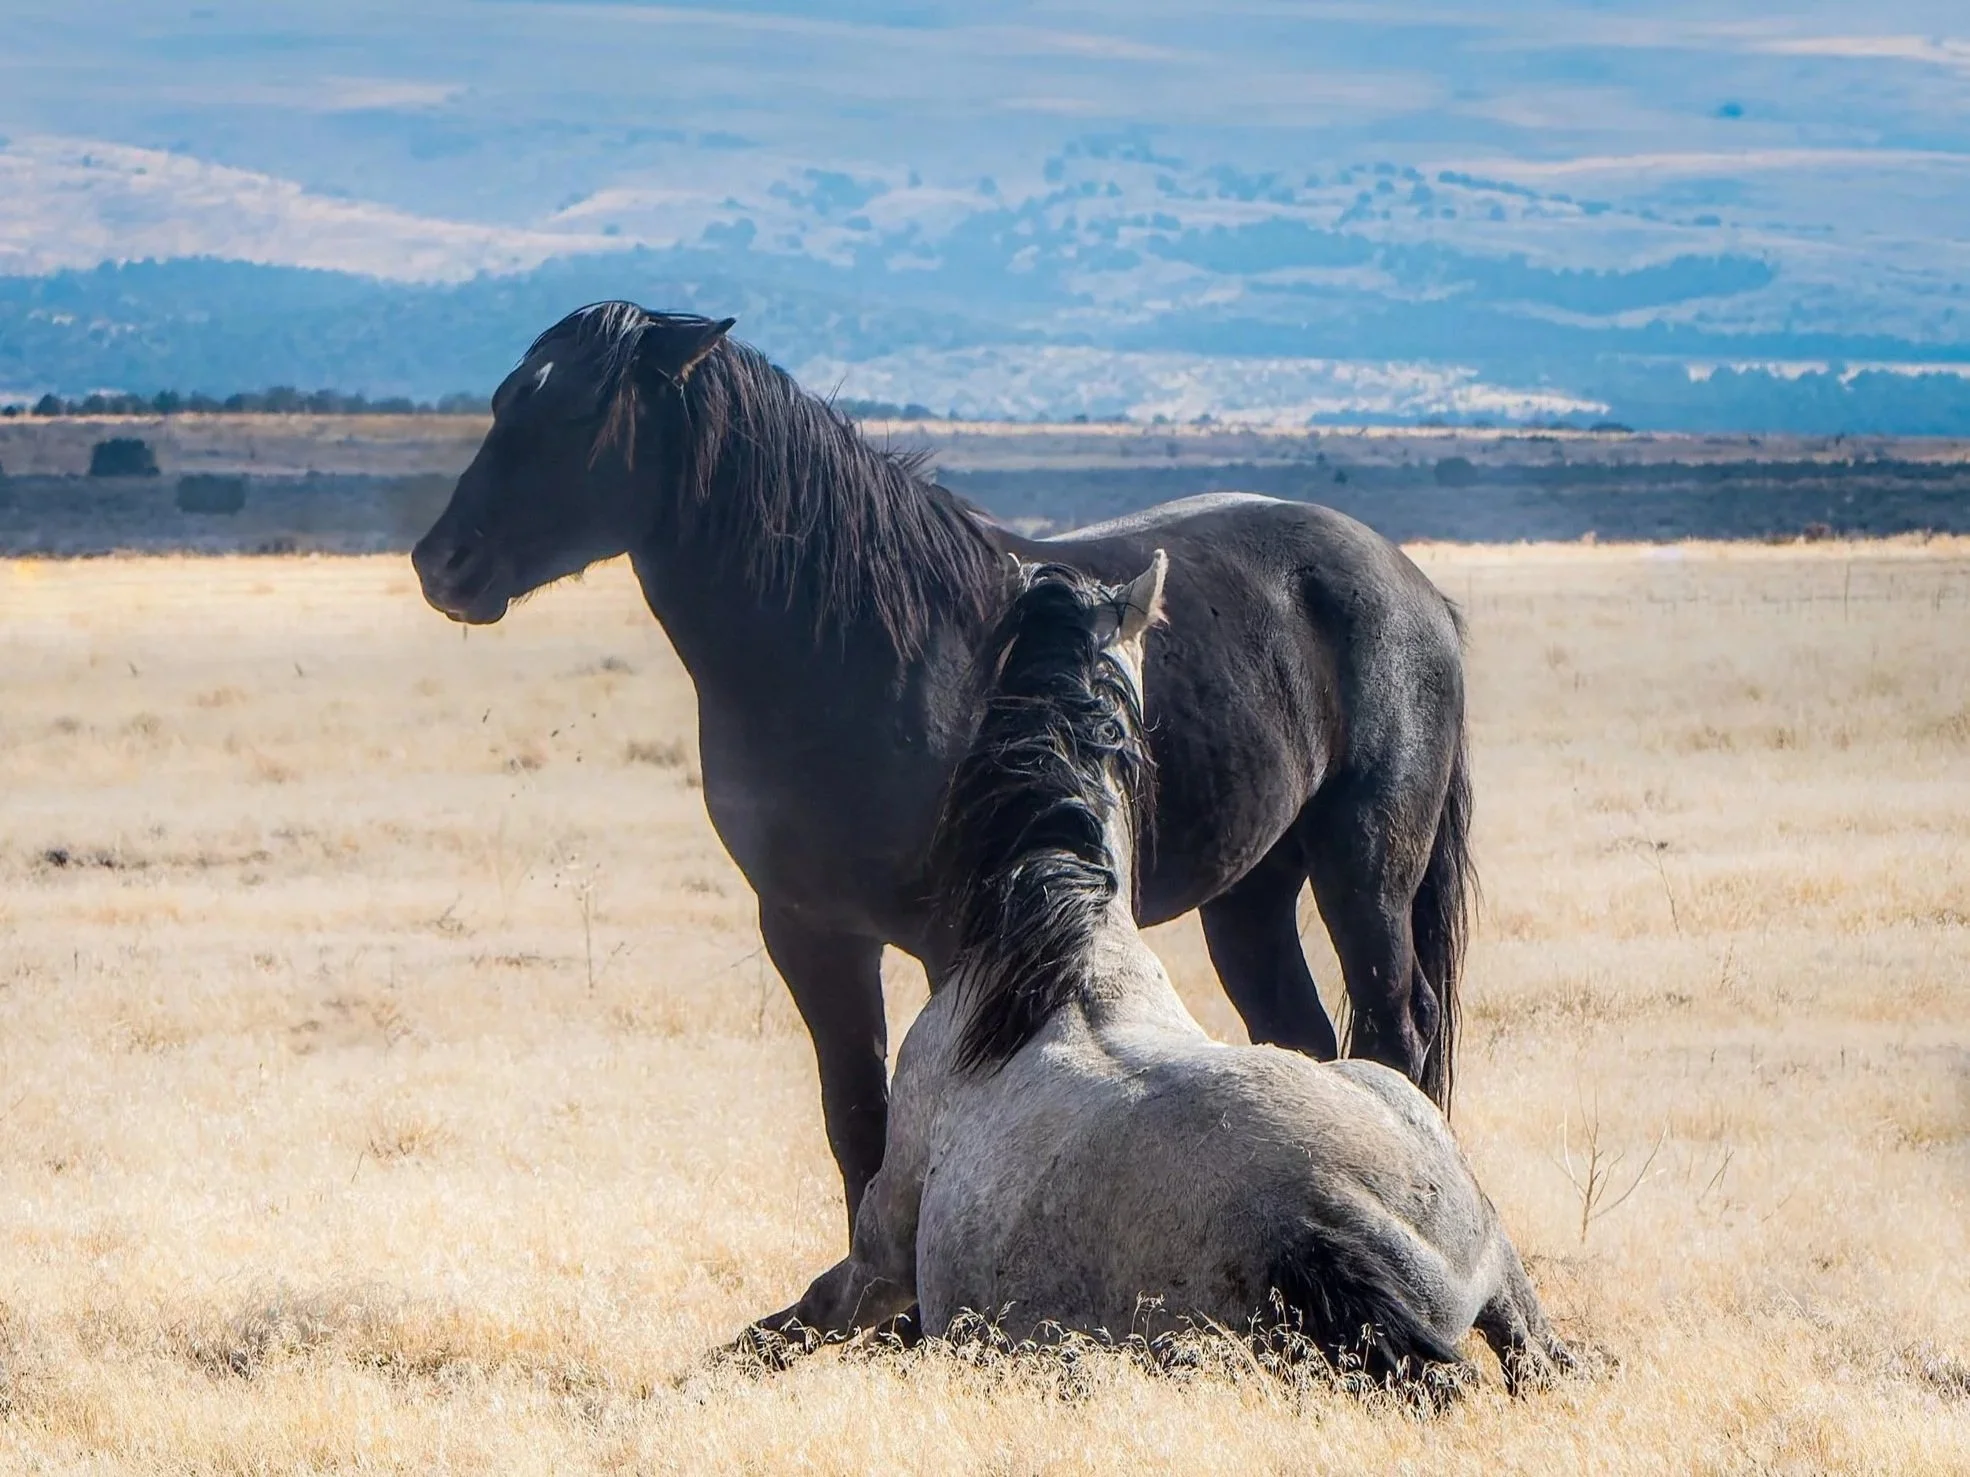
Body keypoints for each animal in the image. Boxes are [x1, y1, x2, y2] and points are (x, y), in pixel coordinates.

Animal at [411, 303, 1474, 1231]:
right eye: (505, 400)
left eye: (574, 413)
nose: (441, 564)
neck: (853, 647)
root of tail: (1413, 586)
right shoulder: (808, 929)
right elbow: (858, 1123)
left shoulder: (951, 935)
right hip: (1250, 894)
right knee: (1303, 1034)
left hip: (1363, 868)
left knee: (1397, 1025)